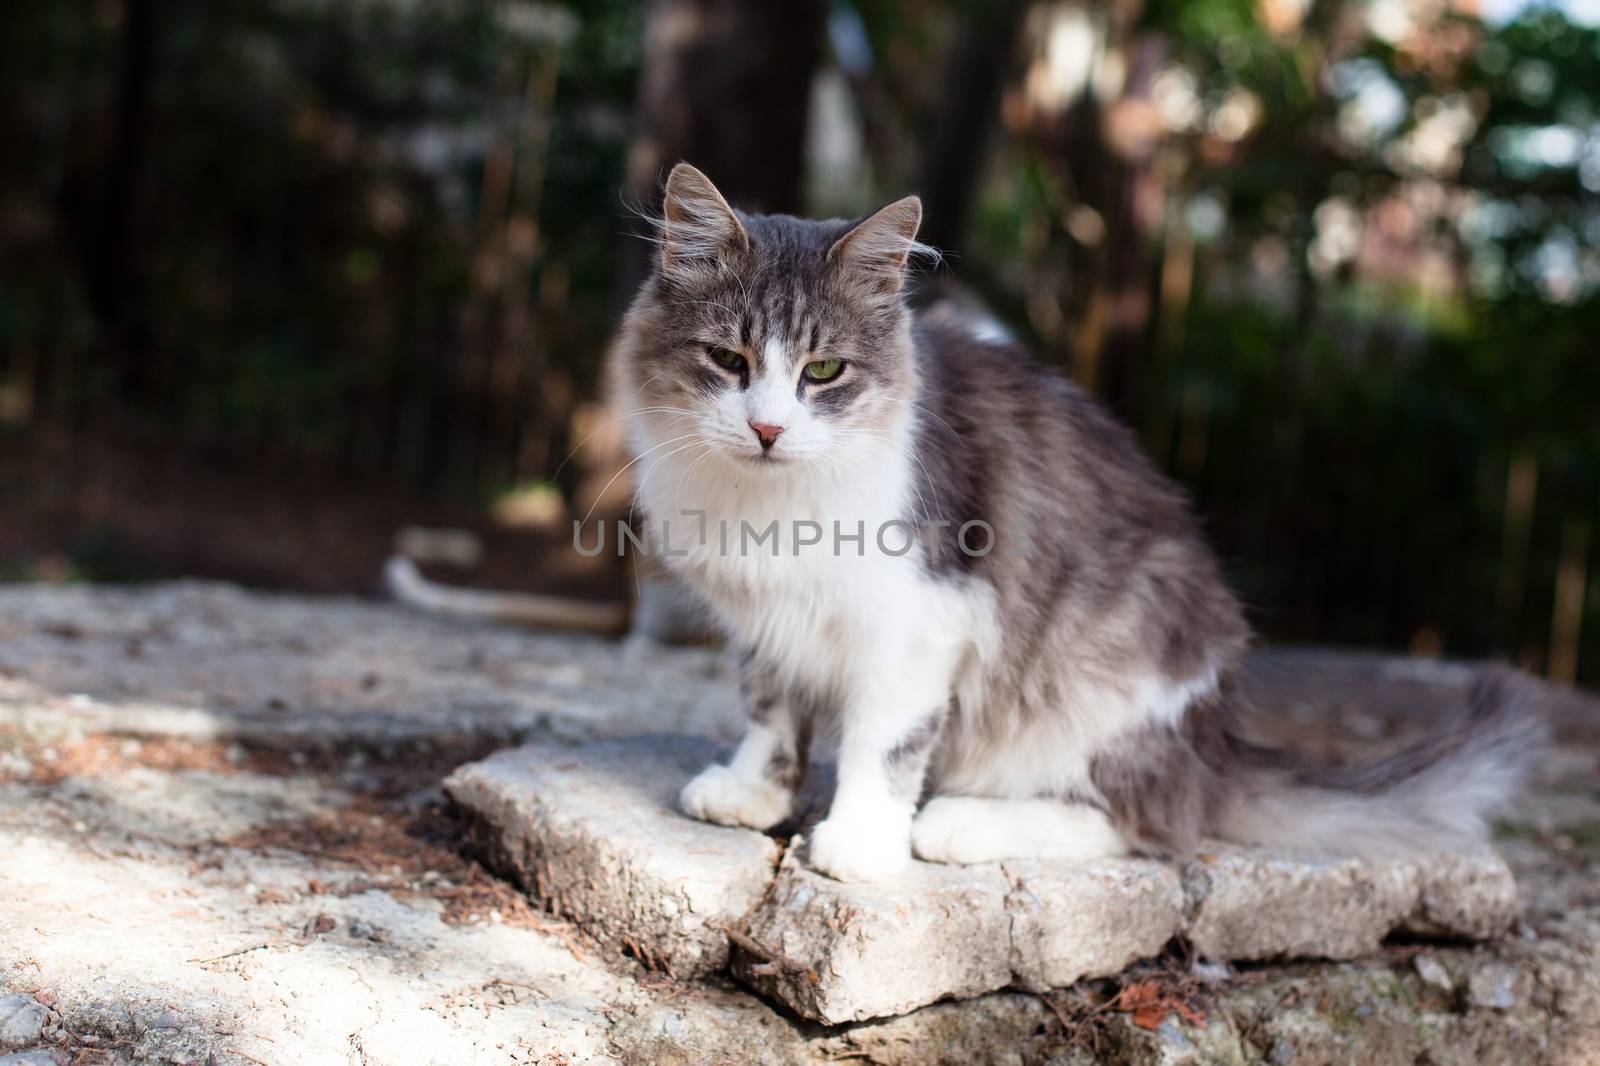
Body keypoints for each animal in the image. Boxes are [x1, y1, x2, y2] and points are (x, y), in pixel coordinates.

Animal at [608, 164, 1536, 877]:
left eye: (824, 372)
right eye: (728, 360)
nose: (767, 429)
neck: (771, 505)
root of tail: (1217, 743)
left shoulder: (921, 620)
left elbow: (883, 742)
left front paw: (861, 842)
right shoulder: (765, 622)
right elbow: (770, 714)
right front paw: (753, 792)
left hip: (1110, 681)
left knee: (1156, 823)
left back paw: (958, 823)